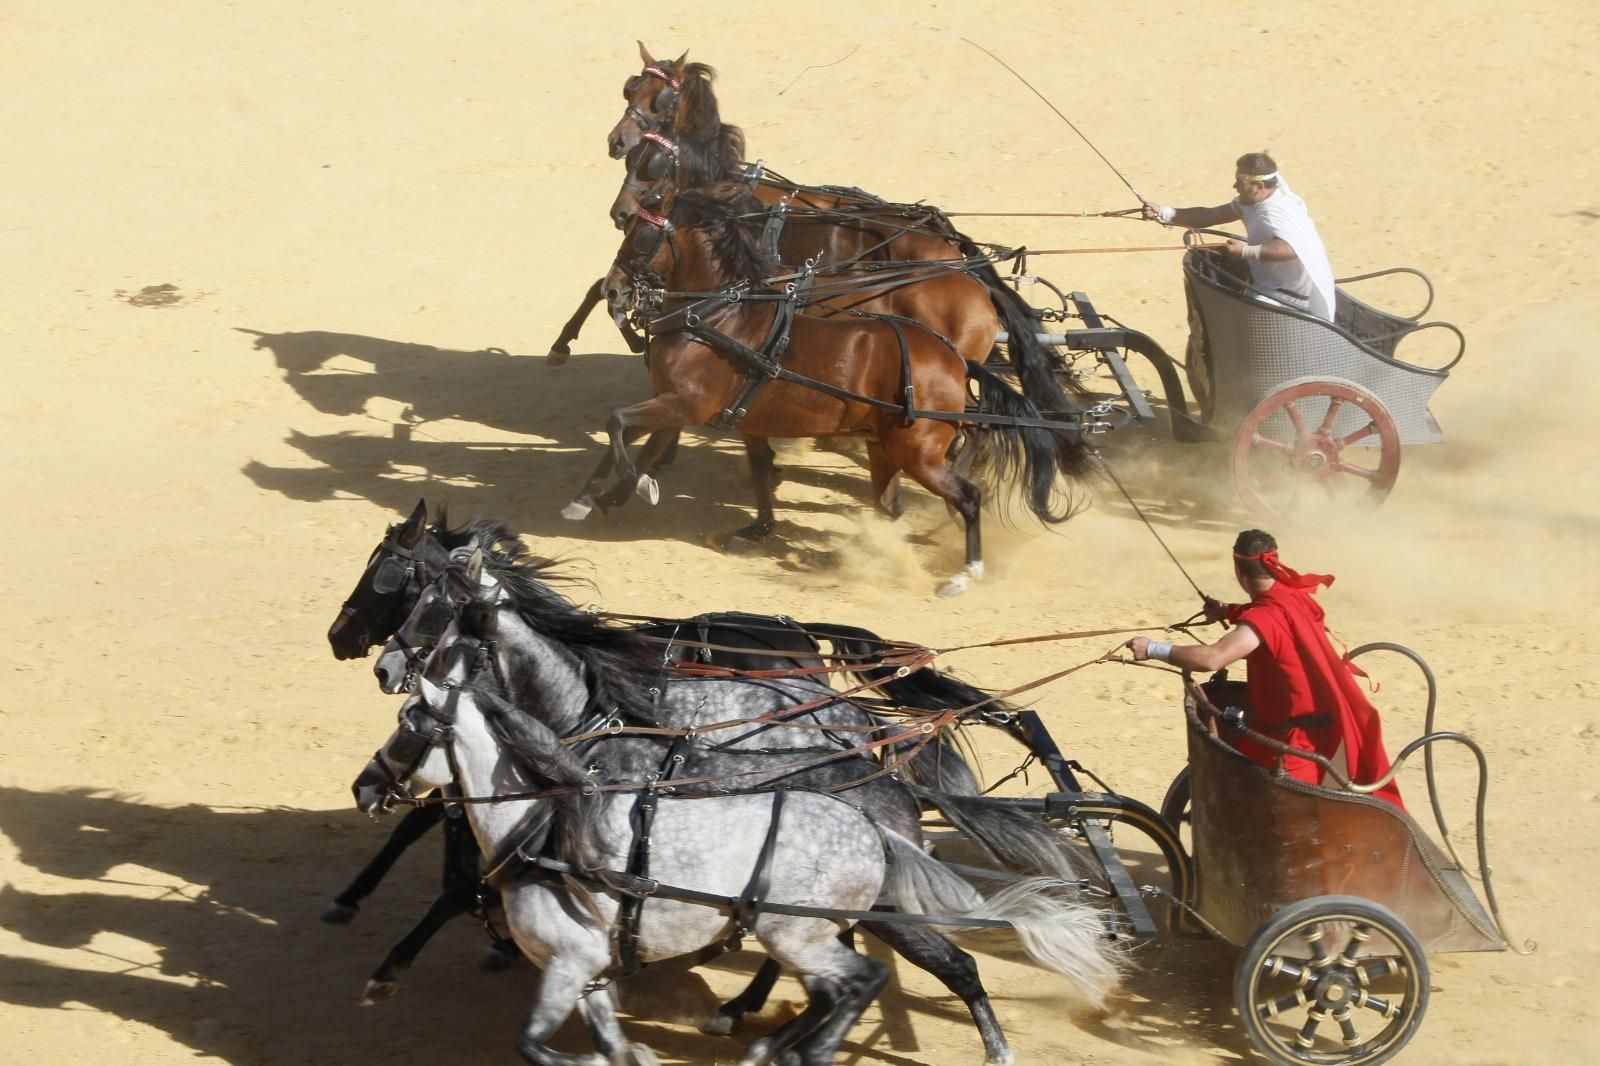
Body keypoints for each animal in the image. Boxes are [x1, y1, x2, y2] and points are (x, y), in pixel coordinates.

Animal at [595, 185, 1094, 592]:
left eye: (641, 235)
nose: (612, 290)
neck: (719, 317)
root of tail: (954, 355)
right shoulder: (727, 414)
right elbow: (751, 469)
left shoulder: (686, 404)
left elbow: (622, 424)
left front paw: (628, 484)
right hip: (889, 445)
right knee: (906, 494)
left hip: (915, 451)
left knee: (968, 487)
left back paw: (963, 569)